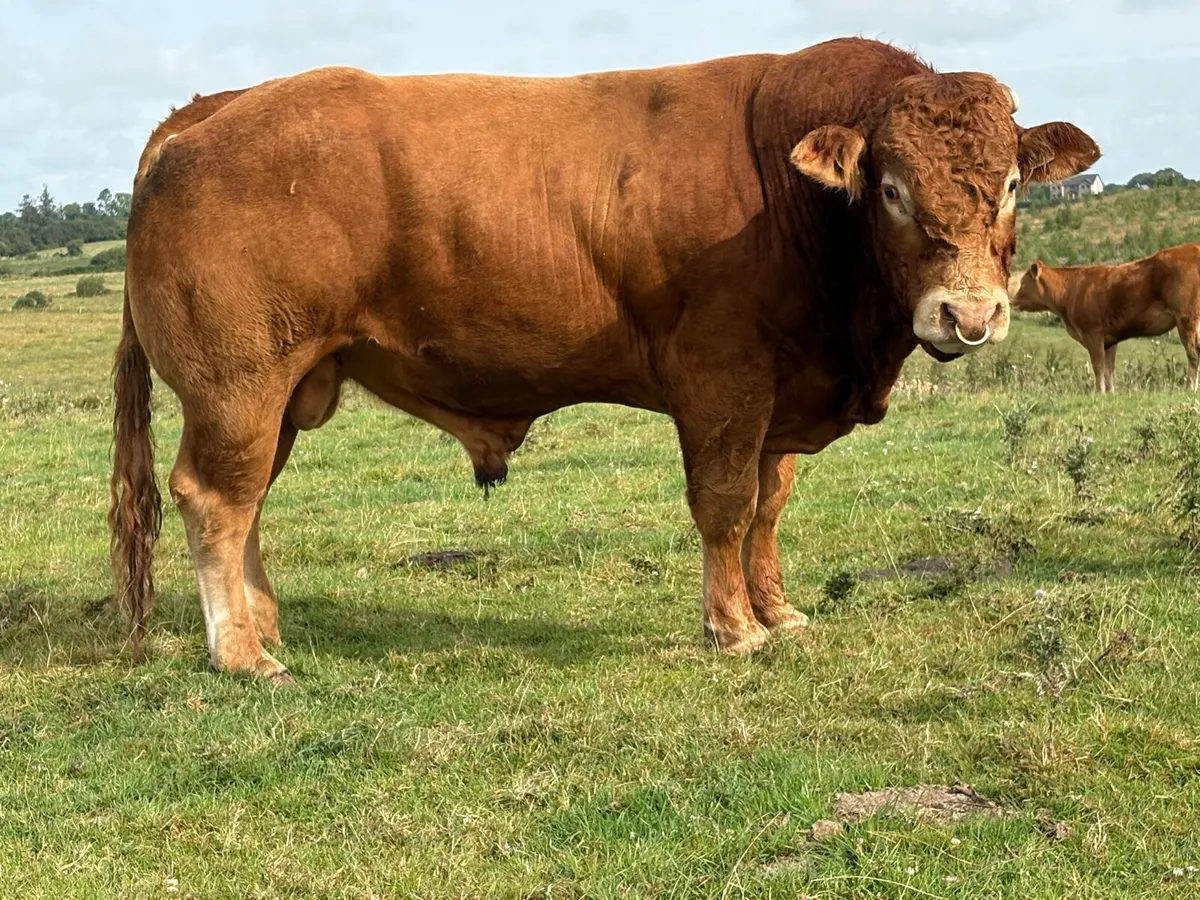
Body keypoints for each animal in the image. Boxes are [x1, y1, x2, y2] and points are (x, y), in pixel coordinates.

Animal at [110, 38, 1099, 682]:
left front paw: (779, 611)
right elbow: (726, 507)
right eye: (890, 189)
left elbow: (770, 508)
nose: (970, 314)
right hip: (239, 384)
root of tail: (210, 110)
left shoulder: (781, 395)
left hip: (278, 393)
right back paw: (241, 653)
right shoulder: (721, 379)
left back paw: (265, 626)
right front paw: (734, 629)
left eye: (1013, 183)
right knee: (216, 500)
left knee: (247, 504)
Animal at [1011, 245, 1200, 393]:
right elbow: (1109, 368)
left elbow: (1098, 366)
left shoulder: (1093, 333)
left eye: (1022, 282)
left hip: (1186, 319)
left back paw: (1190, 388)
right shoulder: (1110, 338)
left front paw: (1099, 392)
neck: (1070, 291)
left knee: (1193, 354)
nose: (1012, 301)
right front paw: (1110, 392)